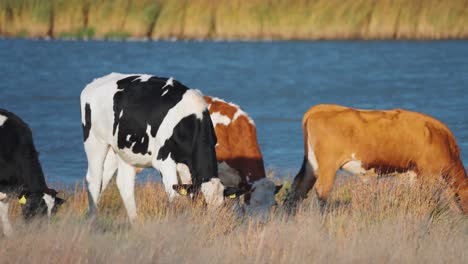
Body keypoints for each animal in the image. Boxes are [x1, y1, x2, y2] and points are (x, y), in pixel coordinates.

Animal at [81, 72, 225, 223]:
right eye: (204, 202)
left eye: (222, 206)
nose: (211, 223)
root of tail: (95, 83)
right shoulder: (164, 160)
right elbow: (175, 198)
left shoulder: (185, 166)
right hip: (95, 141)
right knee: (94, 181)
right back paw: (93, 221)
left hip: (121, 148)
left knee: (121, 182)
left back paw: (134, 223)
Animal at [284, 104, 468, 213]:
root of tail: (321, 108)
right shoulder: (427, 174)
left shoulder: (412, 174)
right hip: (328, 166)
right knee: (322, 190)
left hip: (312, 165)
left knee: (298, 188)